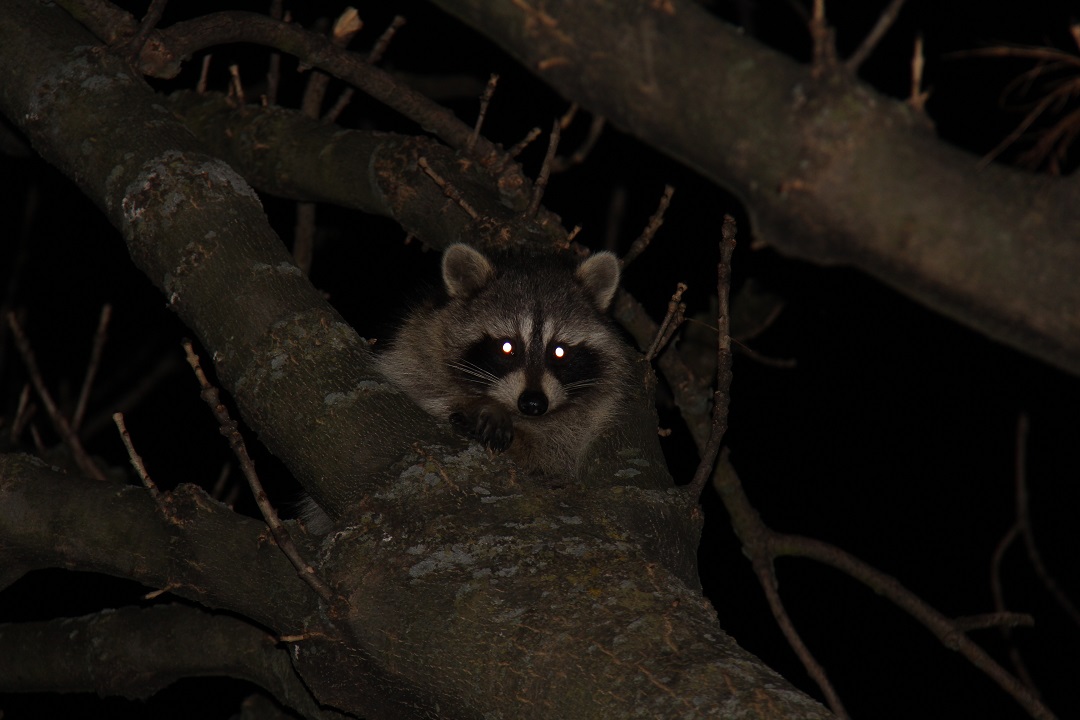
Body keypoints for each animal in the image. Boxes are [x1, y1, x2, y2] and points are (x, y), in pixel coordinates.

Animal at [377, 243, 632, 476]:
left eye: (559, 351)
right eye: (507, 346)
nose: (533, 403)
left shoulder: (576, 429)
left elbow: (549, 454)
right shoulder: (416, 345)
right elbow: (421, 387)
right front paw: (483, 406)